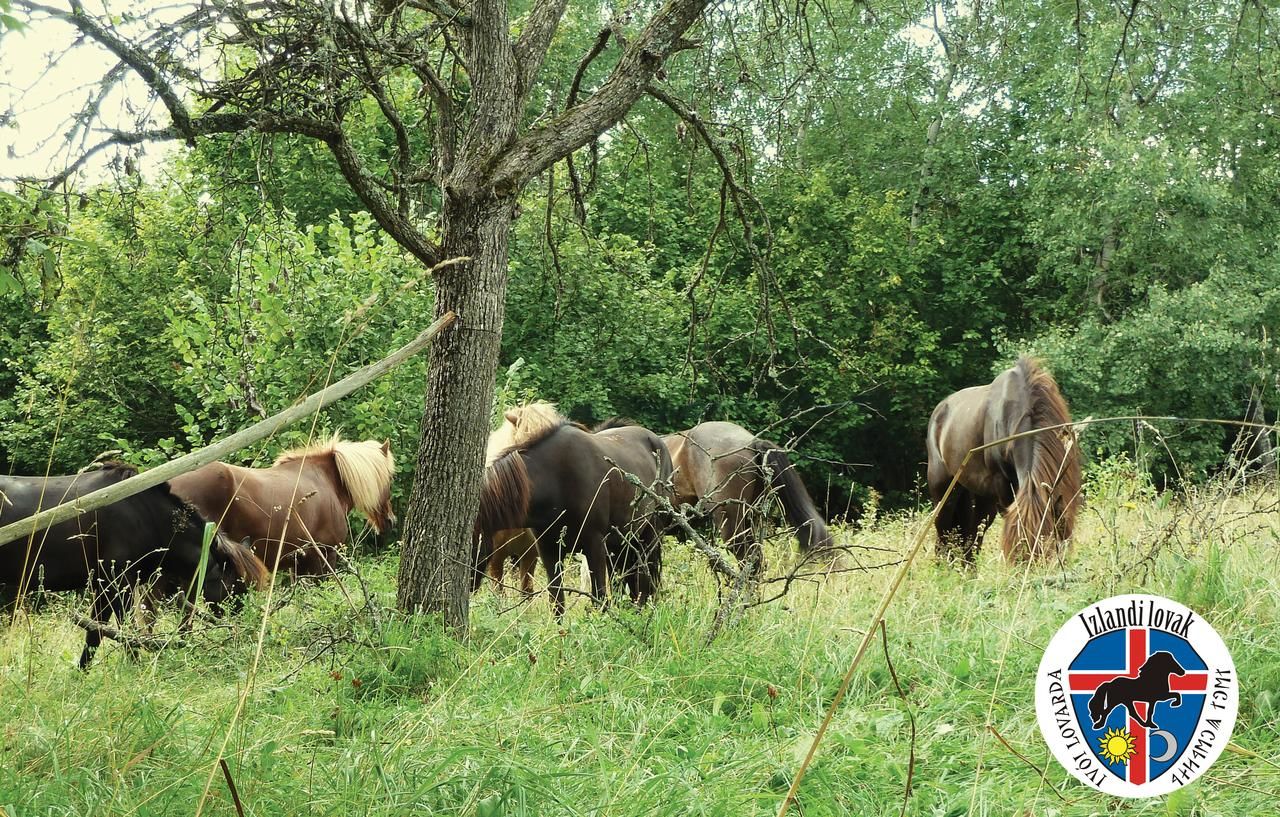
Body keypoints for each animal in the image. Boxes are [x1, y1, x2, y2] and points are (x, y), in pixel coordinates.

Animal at [0, 463, 267, 671]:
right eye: (235, 587)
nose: (245, 633)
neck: (145, 516)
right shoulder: (119, 584)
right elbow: (127, 634)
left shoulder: (105, 586)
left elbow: (95, 634)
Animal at [476, 399, 675, 617]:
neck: (558, 479)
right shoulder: (548, 550)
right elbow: (557, 601)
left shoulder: (594, 546)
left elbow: (599, 597)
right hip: (620, 544)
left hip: (650, 536)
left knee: (647, 579)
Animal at [926, 355, 1085, 566]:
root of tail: (939, 412)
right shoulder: (1002, 485)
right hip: (944, 491)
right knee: (944, 535)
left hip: (978, 495)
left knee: (971, 536)